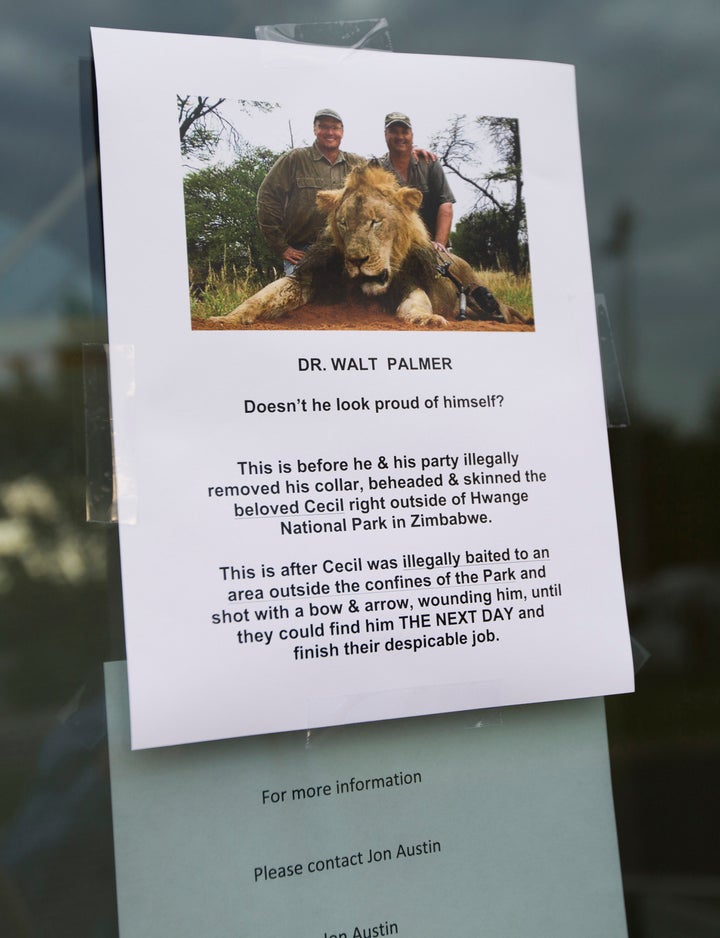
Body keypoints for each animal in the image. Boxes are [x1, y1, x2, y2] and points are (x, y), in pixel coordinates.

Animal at [211, 165, 524, 330]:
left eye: (376, 222)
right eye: (344, 223)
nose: (357, 260)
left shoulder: (408, 282)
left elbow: (417, 302)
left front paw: (427, 319)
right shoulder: (307, 279)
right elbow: (259, 298)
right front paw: (226, 318)